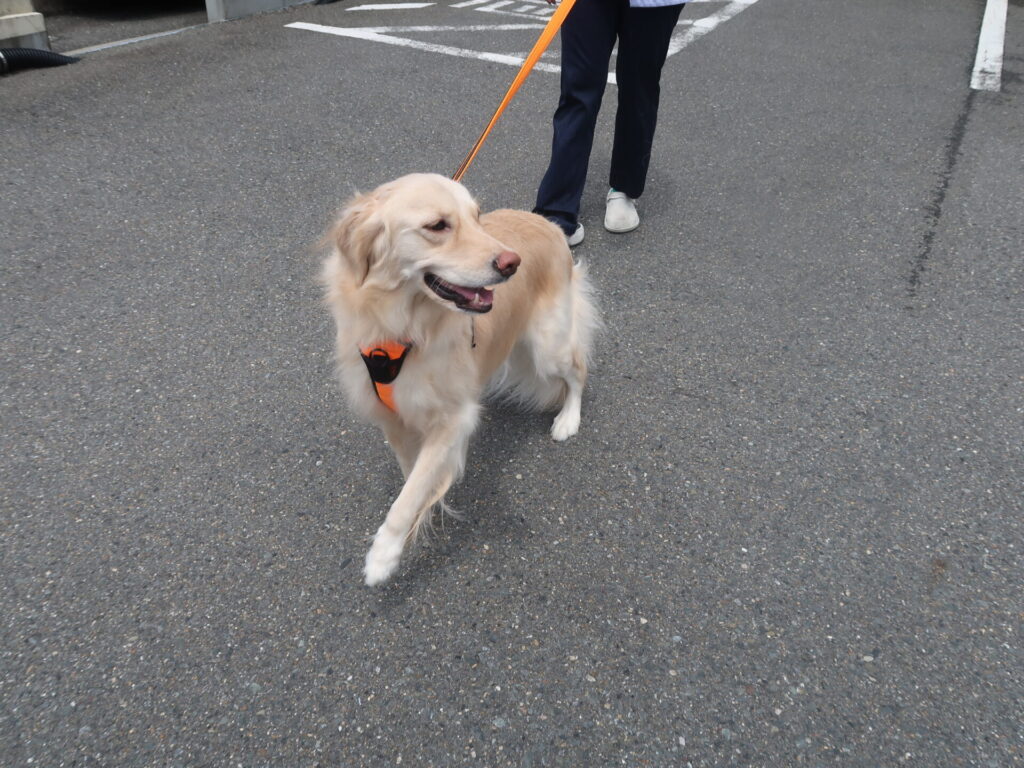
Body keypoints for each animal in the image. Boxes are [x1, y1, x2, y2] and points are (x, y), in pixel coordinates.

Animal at [322, 173, 598, 585]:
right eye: (437, 225)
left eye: (477, 217)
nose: (512, 263)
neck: (403, 327)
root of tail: (546, 223)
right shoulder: (394, 418)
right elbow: (413, 475)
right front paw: (426, 508)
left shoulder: (453, 418)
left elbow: (410, 492)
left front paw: (384, 553)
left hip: (549, 345)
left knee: (578, 370)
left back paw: (568, 418)